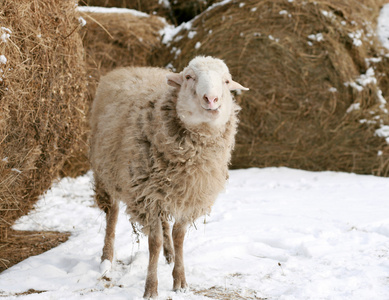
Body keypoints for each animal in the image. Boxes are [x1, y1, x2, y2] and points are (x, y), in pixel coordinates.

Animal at [88, 55, 249, 298]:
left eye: (227, 81)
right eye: (189, 77)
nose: (211, 99)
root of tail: (131, 67)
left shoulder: (187, 197)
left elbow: (179, 237)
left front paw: (180, 281)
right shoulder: (146, 197)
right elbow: (153, 242)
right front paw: (151, 288)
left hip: (161, 188)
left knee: (164, 223)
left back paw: (169, 253)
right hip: (106, 173)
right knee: (112, 215)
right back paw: (106, 259)